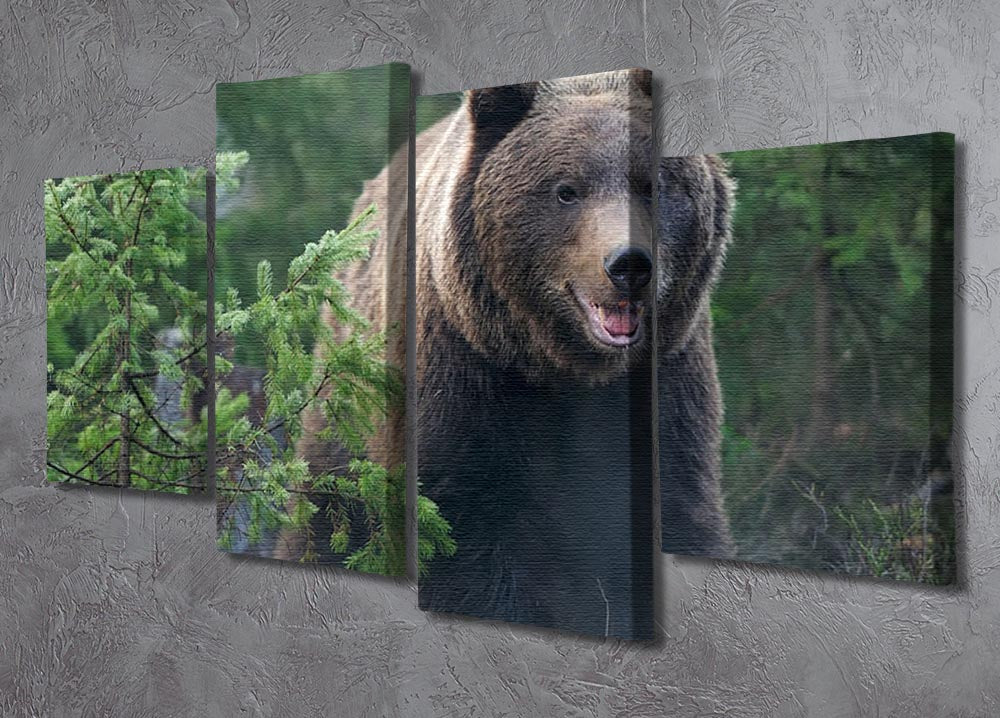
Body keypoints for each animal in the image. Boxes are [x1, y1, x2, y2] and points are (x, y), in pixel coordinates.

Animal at [279, 68, 733, 638]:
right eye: (566, 190)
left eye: (653, 185)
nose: (628, 264)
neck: (564, 369)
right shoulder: (466, 375)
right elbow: (460, 532)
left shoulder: (670, 378)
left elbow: (680, 506)